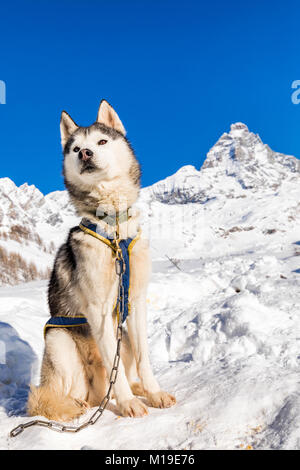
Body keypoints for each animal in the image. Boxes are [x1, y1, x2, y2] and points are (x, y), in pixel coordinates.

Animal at [28, 101, 176, 420]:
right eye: (74, 148)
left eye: (102, 142)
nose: (85, 153)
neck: (114, 228)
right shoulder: (97, 311)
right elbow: (114, 367)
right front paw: (129, 403)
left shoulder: (135, 301)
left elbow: (145, 358)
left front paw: (154, 393)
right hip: (57, 341)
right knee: (57, 397)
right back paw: (79, 405)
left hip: (125, 337)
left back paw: (137, 389)